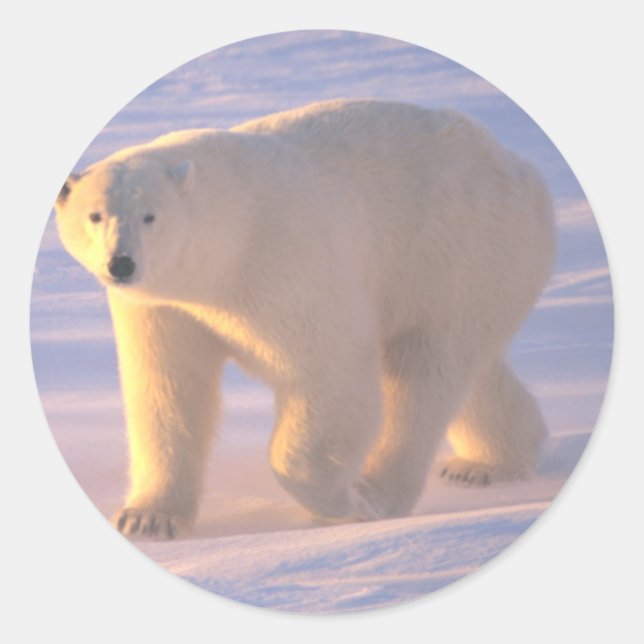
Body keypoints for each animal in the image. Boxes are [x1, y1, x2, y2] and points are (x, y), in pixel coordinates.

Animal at [55, 99, 555, 539]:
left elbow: (327, 373)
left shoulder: (284, 263)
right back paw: (488, 464)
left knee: (424, 373)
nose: (121, 264)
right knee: (475, 369)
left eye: (150, 216)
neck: (229, 236)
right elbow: (168, 390)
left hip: (460, 246)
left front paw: (342, 500)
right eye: (94, 215)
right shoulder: (163, 307)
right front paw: (148, 518)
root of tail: (524, 171)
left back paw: (378, 492)